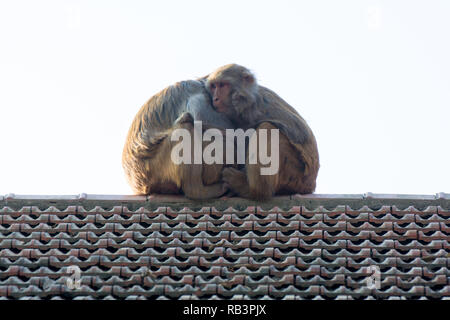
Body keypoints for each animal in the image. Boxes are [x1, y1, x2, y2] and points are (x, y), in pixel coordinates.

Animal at [204, 63, 320, 200]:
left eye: (222, 85)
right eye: (213, 86)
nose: (215, 98)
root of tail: (310, 184)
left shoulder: (258, 106)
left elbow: (299, 131)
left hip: (295, 174)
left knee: (267, 128)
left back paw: (253, 190)